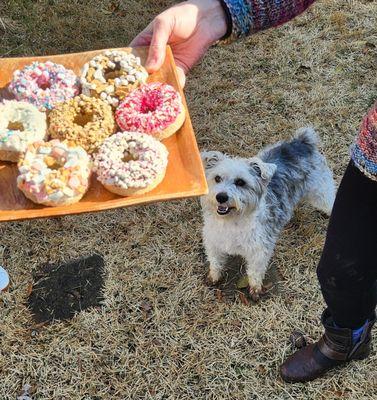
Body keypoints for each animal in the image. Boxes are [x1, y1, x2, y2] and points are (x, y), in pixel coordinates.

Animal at [201, 128, 334, 300]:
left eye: (240, 182)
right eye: (217, 178)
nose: (221, 197)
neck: (232, 221)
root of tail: (302, 142)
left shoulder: (258, 251)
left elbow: (255, 272)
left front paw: (255, 289)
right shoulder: (213, 243)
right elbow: (215, 262)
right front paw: (214, 277)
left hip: (321, 193)